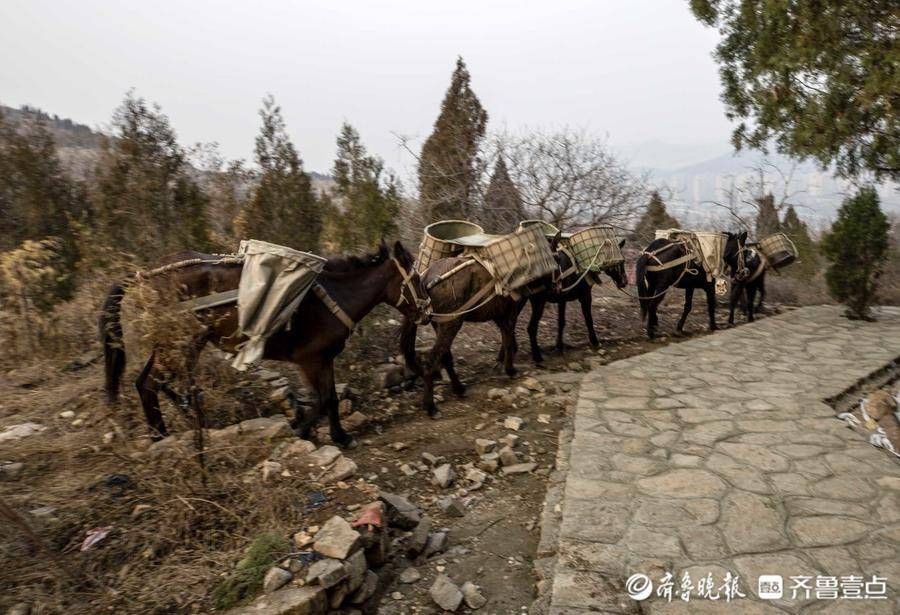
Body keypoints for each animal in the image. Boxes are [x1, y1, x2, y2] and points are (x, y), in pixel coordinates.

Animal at [100, 241, 424, 448]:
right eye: (417, 279)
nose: (427, 309)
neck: (337, 295)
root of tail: (143, 276)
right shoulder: (309, 360)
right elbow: (321, 399)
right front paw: (301, 430)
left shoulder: (324, 359)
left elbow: (330, 398)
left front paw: (340, 436)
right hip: (175, 347)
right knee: (147, 385)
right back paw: (161, 438)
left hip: (174, 347)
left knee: (146, 383)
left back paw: (165, 431)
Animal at [400, 258, 520, 416]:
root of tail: (425, 279)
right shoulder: (512, 307)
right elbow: (509, 336)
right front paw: (510, 369)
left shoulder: (499, 311)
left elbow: (506, 335)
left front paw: (502, 363)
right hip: (452, 324)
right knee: (433, 360)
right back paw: (431, 407)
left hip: (441, 325)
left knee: (445, 355)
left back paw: (459, 389)